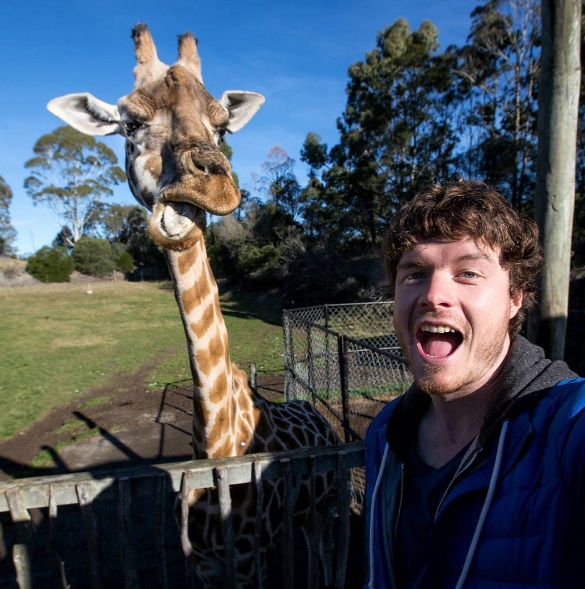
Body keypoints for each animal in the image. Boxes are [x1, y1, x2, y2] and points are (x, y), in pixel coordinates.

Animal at [49, 24, 342, 588]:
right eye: (129, 123)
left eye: (224, 127)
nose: (211, 184)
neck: (218, 444)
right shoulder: (204, 565)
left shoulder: (250, 560)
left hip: (327, 503)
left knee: (325, 553)